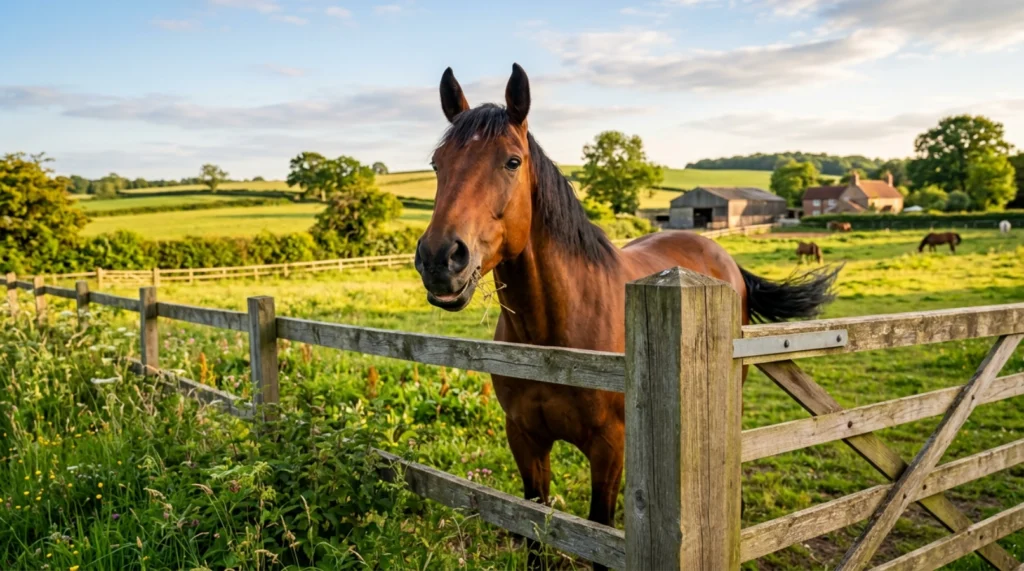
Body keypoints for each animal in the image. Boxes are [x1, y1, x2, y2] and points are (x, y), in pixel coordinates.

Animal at [414, 63, 840, 571]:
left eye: (512, 162)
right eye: (437, 163)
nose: (440, 259)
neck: (554, 342)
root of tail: (719, 253)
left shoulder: (608, 448)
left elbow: (600, 531)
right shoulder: (524, 439)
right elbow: (534, 526)